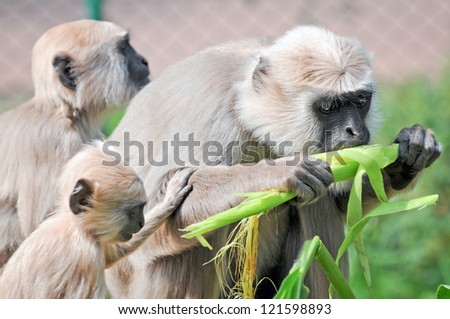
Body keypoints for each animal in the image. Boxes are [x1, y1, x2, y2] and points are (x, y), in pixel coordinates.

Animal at [104, 25, 440, 300]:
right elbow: (146, 220)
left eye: (360, 102)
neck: (247, 109)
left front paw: (407, 157)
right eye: (329, 107)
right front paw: (280, 173)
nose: (355, 130)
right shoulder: (210, 111)